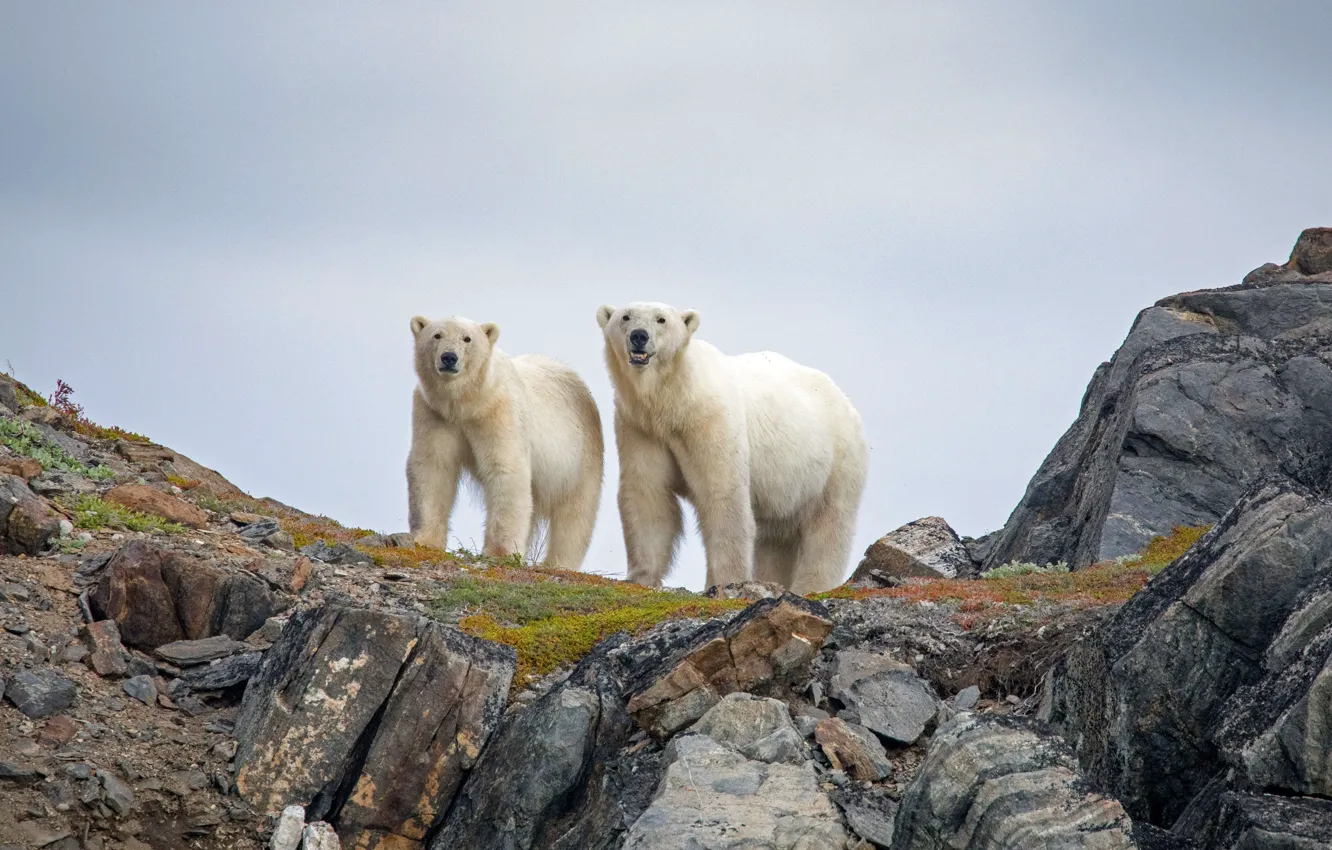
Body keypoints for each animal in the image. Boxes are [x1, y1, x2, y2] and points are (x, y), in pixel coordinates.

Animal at [408, 315, 604, 569]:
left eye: (467, 338)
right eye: (437, 335)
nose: (449, 357)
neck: (467, 404)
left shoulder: (499, 412)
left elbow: (505, 470)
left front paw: (499, 552)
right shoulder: (435, 413)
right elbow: (432, 467)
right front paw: (425, 540)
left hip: (579, 456)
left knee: (575, 514)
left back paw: (557, 563)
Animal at [597, 302, 868, 595]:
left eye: (661, 320)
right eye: (625, 317)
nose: (639, 336)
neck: (674, 400)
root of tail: (844, 400)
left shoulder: (711, 420)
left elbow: (723, 496)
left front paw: (725, 581)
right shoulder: (641, 427)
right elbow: (648, 493)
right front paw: (640, 577)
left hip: (835, 462)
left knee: (828, 526)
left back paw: (810, 586)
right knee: (776, 539)